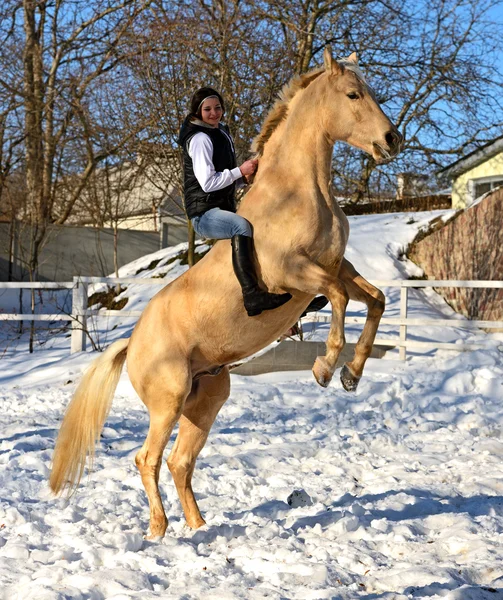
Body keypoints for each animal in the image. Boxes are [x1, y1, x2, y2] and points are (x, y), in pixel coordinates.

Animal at [51, 50, 404, 540]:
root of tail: (131, 342)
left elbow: (374, 300)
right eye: (353, 95)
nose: (393, 140)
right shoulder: (296, 275)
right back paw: (158, 529)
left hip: (206, 399)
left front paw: (351, 375)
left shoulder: (339, 268)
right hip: (169, 400)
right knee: (148, 459)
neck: (300, 192)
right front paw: (324, 368)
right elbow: (337, 299)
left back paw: (199, 528)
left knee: (180, 462)